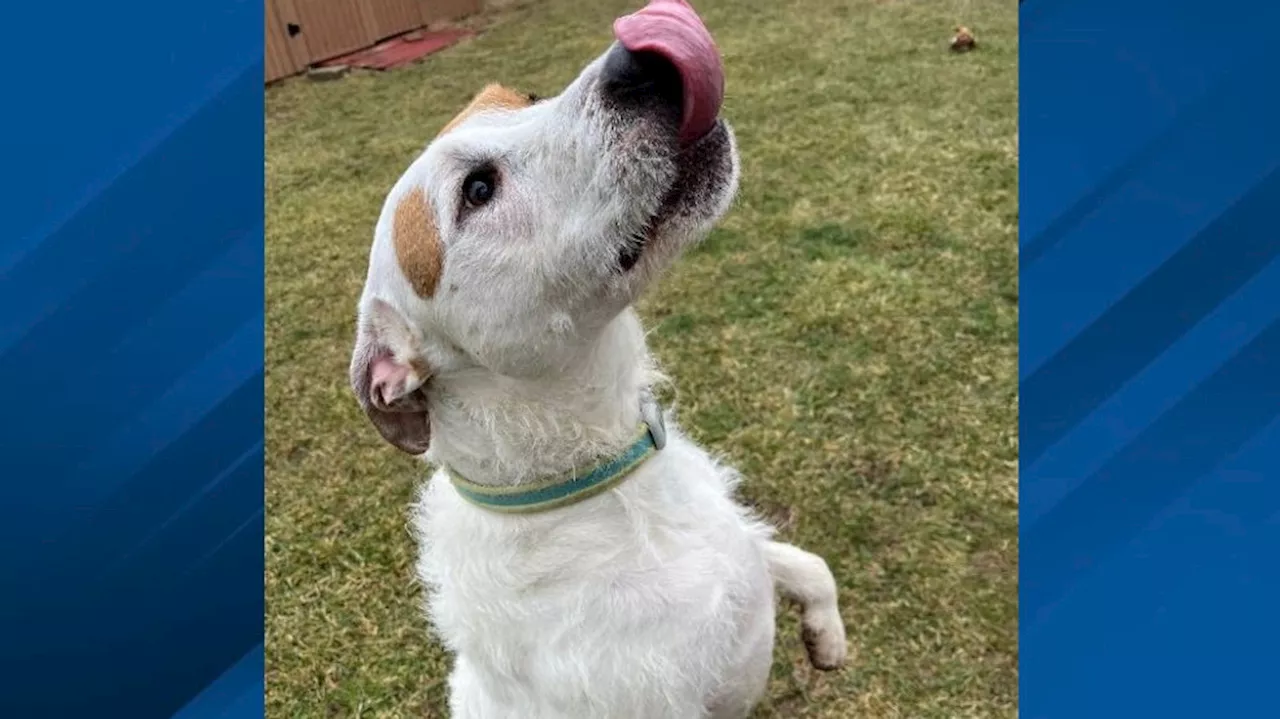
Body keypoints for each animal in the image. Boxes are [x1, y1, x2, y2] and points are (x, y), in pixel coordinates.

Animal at [350, 1, 849, 716]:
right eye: (478, 190)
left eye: (527, 97)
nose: (634, 56)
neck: (604, 473)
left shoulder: (745, 543)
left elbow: (807, 563)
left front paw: (827, 637)